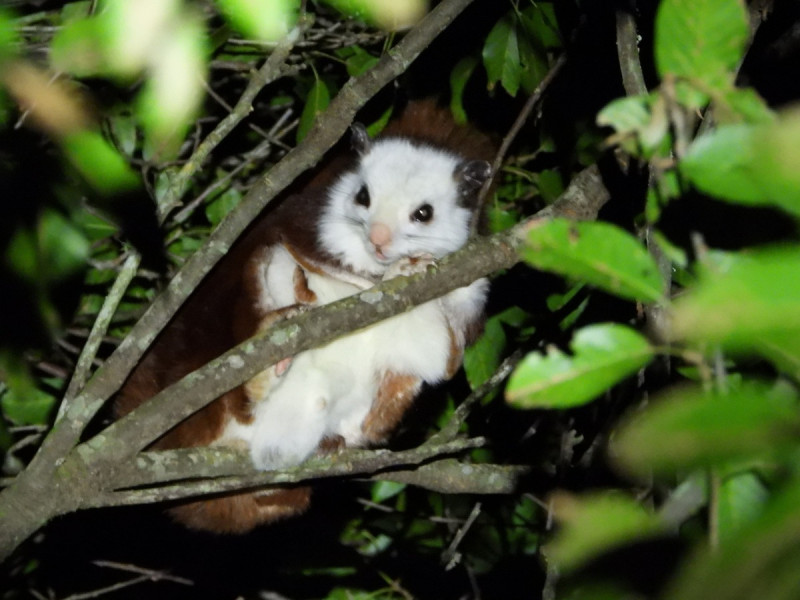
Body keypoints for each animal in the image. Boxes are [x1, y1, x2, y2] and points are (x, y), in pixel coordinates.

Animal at [115, 99, 496, 536]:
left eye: (423, 213)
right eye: (362, 196)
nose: (379, 239)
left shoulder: (466, 289)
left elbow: (448, 354)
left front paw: (411, 269)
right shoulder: (307, 225)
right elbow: (336, 269)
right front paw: (397, 272)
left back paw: (327, 442)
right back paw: (266, 363)